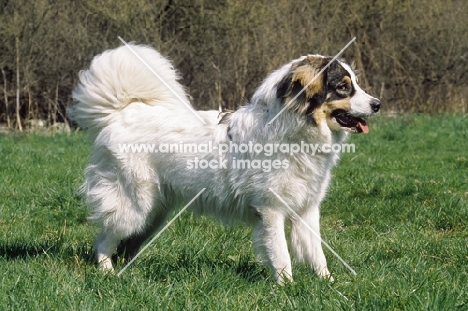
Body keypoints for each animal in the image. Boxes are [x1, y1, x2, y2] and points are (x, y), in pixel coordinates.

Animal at [67, 44, 378, 286]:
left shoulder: (307, 208)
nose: (377, 103)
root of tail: (125, 110)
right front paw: (287, 288)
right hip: (133, 205)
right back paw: (107, 273)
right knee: (104, 240)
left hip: (154, 214)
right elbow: (281, 255)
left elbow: (317, 254)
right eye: (343, 87)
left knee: (126, 243)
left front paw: (328, 284)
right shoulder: (271, 210)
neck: (295, 130)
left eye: (354, 84)